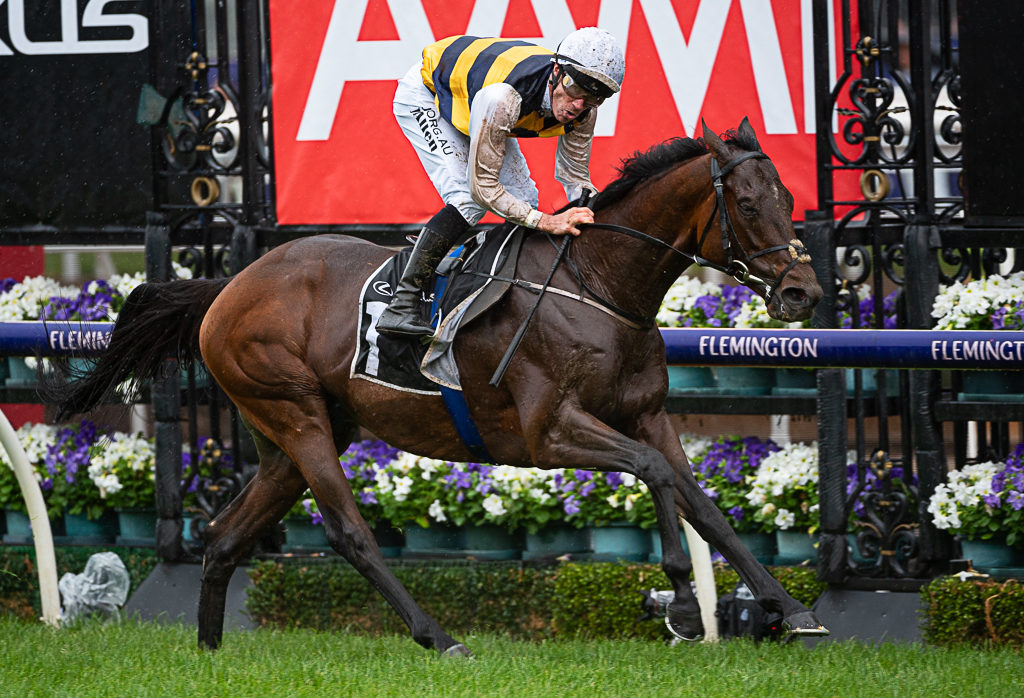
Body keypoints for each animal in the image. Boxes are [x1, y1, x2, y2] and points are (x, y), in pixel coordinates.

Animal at [53, 118, 826, 655]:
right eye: (749, 204)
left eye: (790, 196)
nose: (804, 291)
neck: (598, 285)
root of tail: (227, 288)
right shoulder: (549, 432)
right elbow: (657, 476)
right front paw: (685, 607)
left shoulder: (648, 414)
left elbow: (704, 504)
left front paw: (791, 610)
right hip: (295, 414)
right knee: (349, 533)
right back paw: (439, 636)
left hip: (292, 436)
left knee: (221, 536)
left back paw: (210, 650)